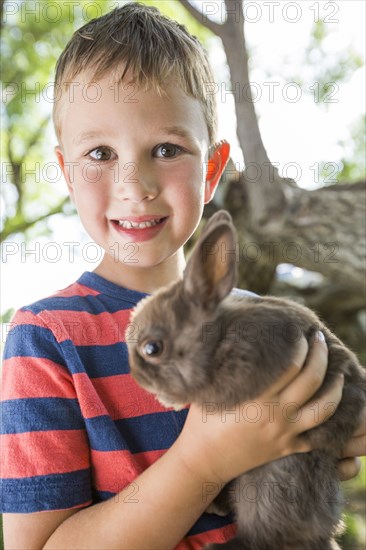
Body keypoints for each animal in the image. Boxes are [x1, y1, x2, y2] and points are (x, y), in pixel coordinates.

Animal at [127, 209, 364, 548]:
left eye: (152, 348)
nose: (136, 376)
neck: (217, 338)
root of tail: (325, 532)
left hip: (271, 483)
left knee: (264, 536)